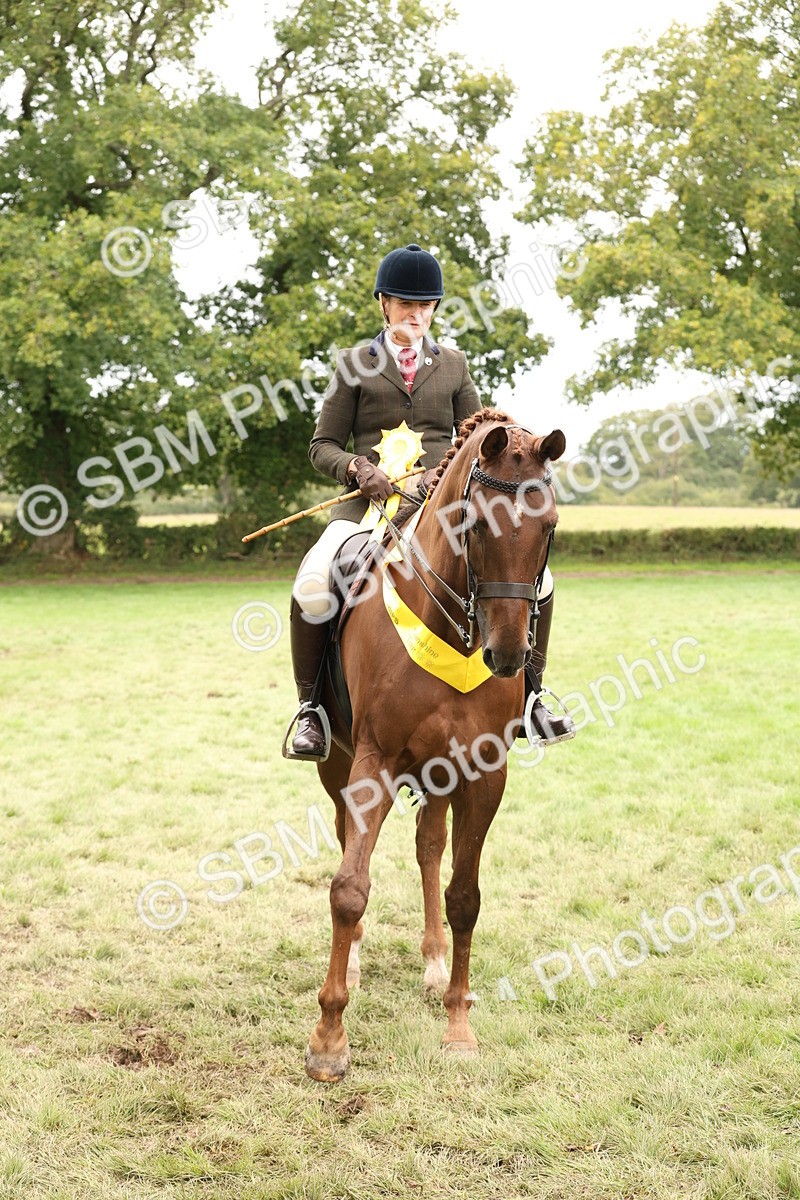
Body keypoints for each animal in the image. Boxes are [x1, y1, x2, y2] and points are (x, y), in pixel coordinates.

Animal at [304, 408, 566, 1081]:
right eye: (474, 523)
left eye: (549, 525)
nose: (507, 656)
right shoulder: (371, 764)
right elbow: (349, 888)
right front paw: (329, 1040)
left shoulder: (483, 772)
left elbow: (464, 895)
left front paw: (458, 1025)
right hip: (337, 765)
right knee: (348, 836)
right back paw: (360, 961)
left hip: (439, 772)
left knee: (429, 849)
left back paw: (433, 961)